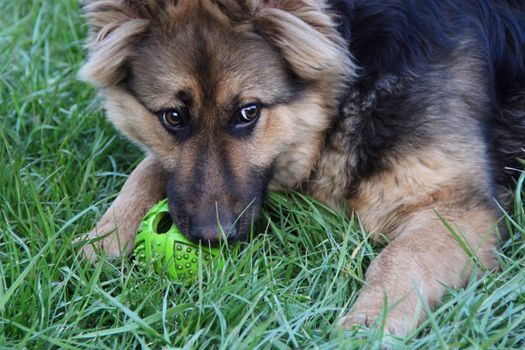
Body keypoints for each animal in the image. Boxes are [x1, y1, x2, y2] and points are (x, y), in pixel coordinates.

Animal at [78, 0, 524, 336]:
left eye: (249, 112)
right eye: (172, 117)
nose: (210, 238)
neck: (357, 60)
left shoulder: (462, 209)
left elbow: (400, 257)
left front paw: (366, 326)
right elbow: (147, 169)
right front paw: (102, 241)